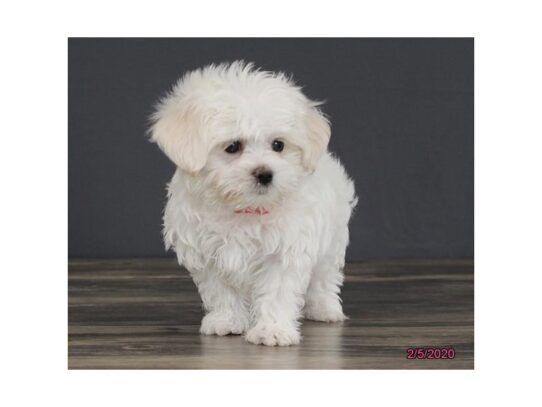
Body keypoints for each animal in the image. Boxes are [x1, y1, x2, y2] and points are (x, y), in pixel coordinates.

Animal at [151, 61, 360, 348]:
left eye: (278, 145)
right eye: (232, 146)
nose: (265, 174)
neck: (244, 209)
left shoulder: (285, 249)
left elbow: (277, 291)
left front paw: (272, 330)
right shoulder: (207, 252)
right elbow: (220, 290)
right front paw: (227, 320)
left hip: (333, 237)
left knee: (325, 275)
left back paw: (324, 308)